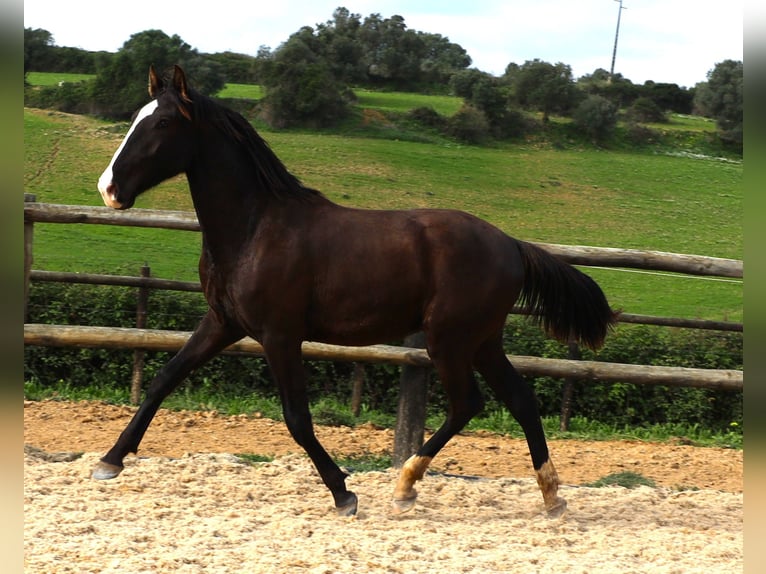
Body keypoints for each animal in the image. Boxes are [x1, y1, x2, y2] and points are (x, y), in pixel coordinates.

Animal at [93, 65, 620, 520]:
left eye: (161, 122)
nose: (109, 189)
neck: (254, 228)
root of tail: (512, 244)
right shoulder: (223, 323)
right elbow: (163, 379)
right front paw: (109, 461)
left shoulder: (279, 335)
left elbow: (297, 418)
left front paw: (343, 493)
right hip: (483, 341)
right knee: (521, 401)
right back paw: (552, 499)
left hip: (448, 340)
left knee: (468, 404)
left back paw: (406, 486)